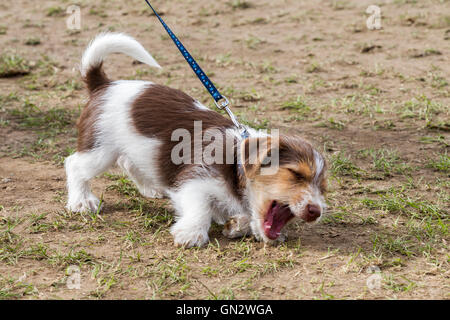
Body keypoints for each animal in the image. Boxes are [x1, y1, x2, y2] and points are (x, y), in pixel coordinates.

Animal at [64, 32, 326, 248]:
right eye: (296, 175)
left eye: (322, 188)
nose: (317, 211)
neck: (235, 167)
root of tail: (104, 84)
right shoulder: (193, 180)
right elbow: (200, 207)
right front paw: (191, 233)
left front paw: (236, 224)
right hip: (100, 150)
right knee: (75, 165)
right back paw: (81, 201)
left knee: (128, 162)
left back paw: (151, 187)